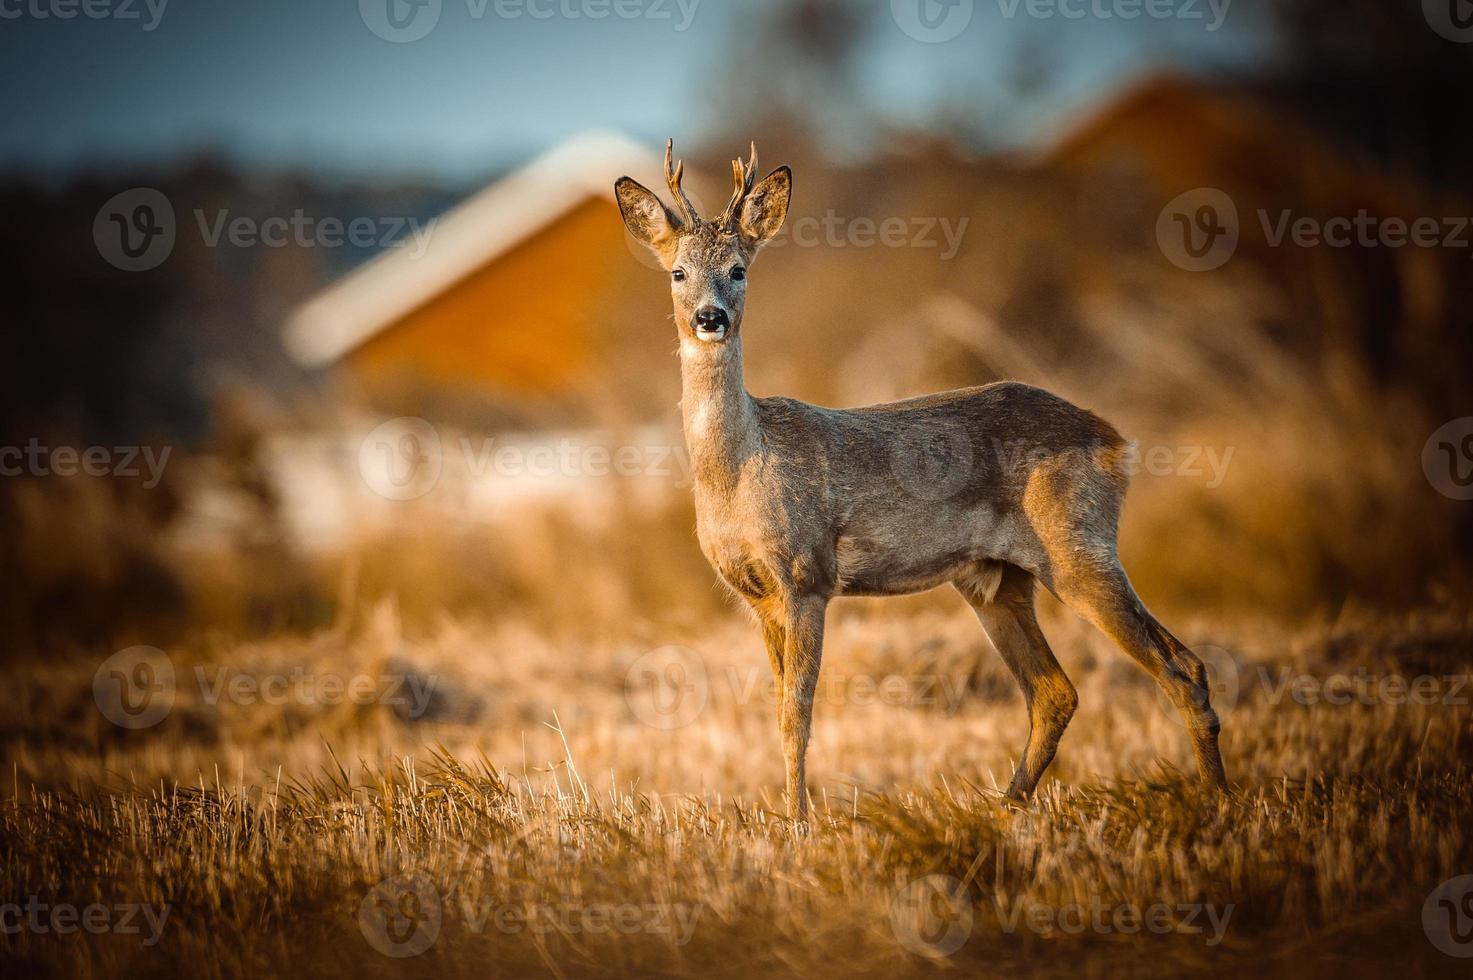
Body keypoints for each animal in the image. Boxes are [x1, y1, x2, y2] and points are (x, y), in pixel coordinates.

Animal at [612, 141, 1231, 819]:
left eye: (739, 269)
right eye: (678, 273)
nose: (710, 317)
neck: (740, 472)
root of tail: (1115, 439)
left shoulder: (807, 576)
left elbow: (797, 713)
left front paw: (798, 822)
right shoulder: (755, 596)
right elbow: (776, 709)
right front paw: (788, 815)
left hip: (1078, 546)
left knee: (1180, 668)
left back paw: (1219, 805)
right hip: (996, 579)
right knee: (1058, 691)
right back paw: (1007, 807)